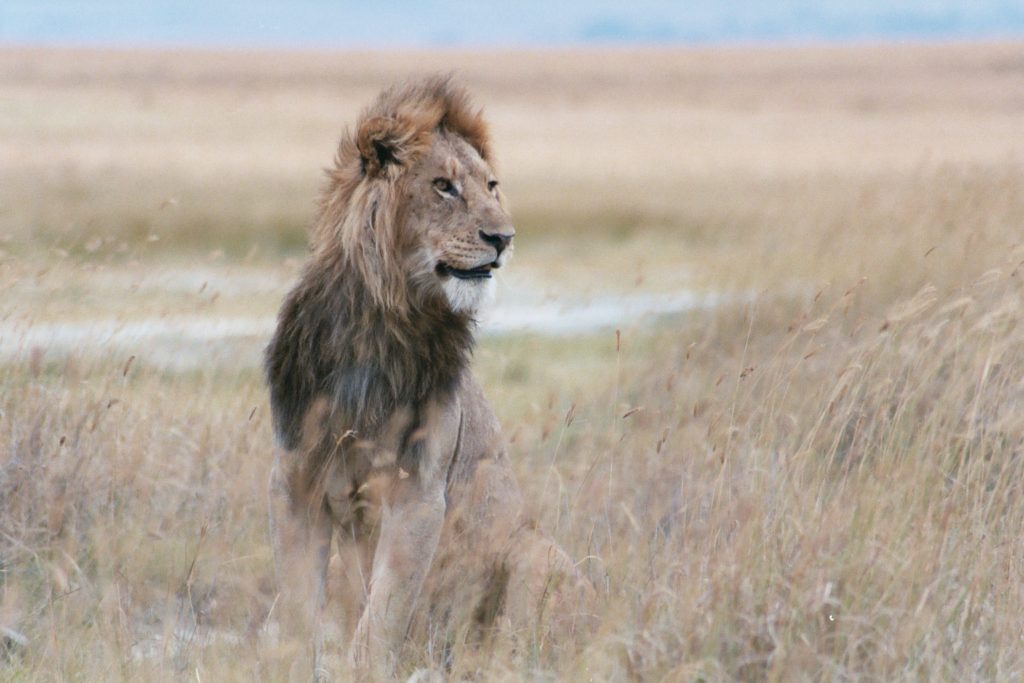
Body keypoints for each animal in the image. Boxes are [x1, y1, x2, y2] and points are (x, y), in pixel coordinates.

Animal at [264, 78, 585, 679]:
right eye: (444, 187)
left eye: (491, 186)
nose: (504, 238)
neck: (376, 327)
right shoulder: (294, 482)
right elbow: (299, 605)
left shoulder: (418, 493)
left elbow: (385, 613)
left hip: (540, 553)